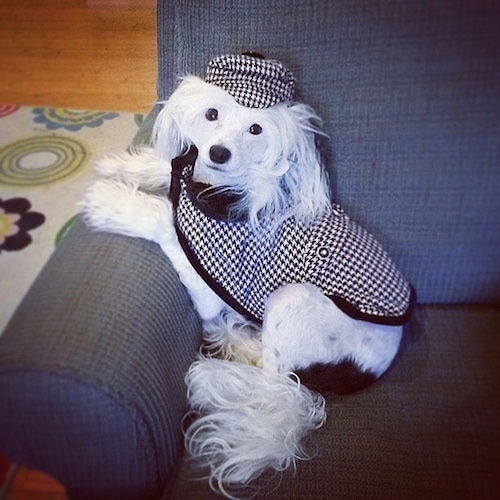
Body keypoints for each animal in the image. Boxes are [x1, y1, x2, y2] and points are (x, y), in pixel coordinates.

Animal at [84, 52, 416, 498]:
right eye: (212, 114)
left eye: (256, 128)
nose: (218, 152)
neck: (218, 187)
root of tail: (375, 367)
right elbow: (168, 167)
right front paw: (125, 164)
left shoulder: (207, 278)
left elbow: (163, 218)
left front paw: (112, 202)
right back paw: (240, 344)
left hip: (292, 299)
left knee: (276, 382)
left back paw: (215, 375)